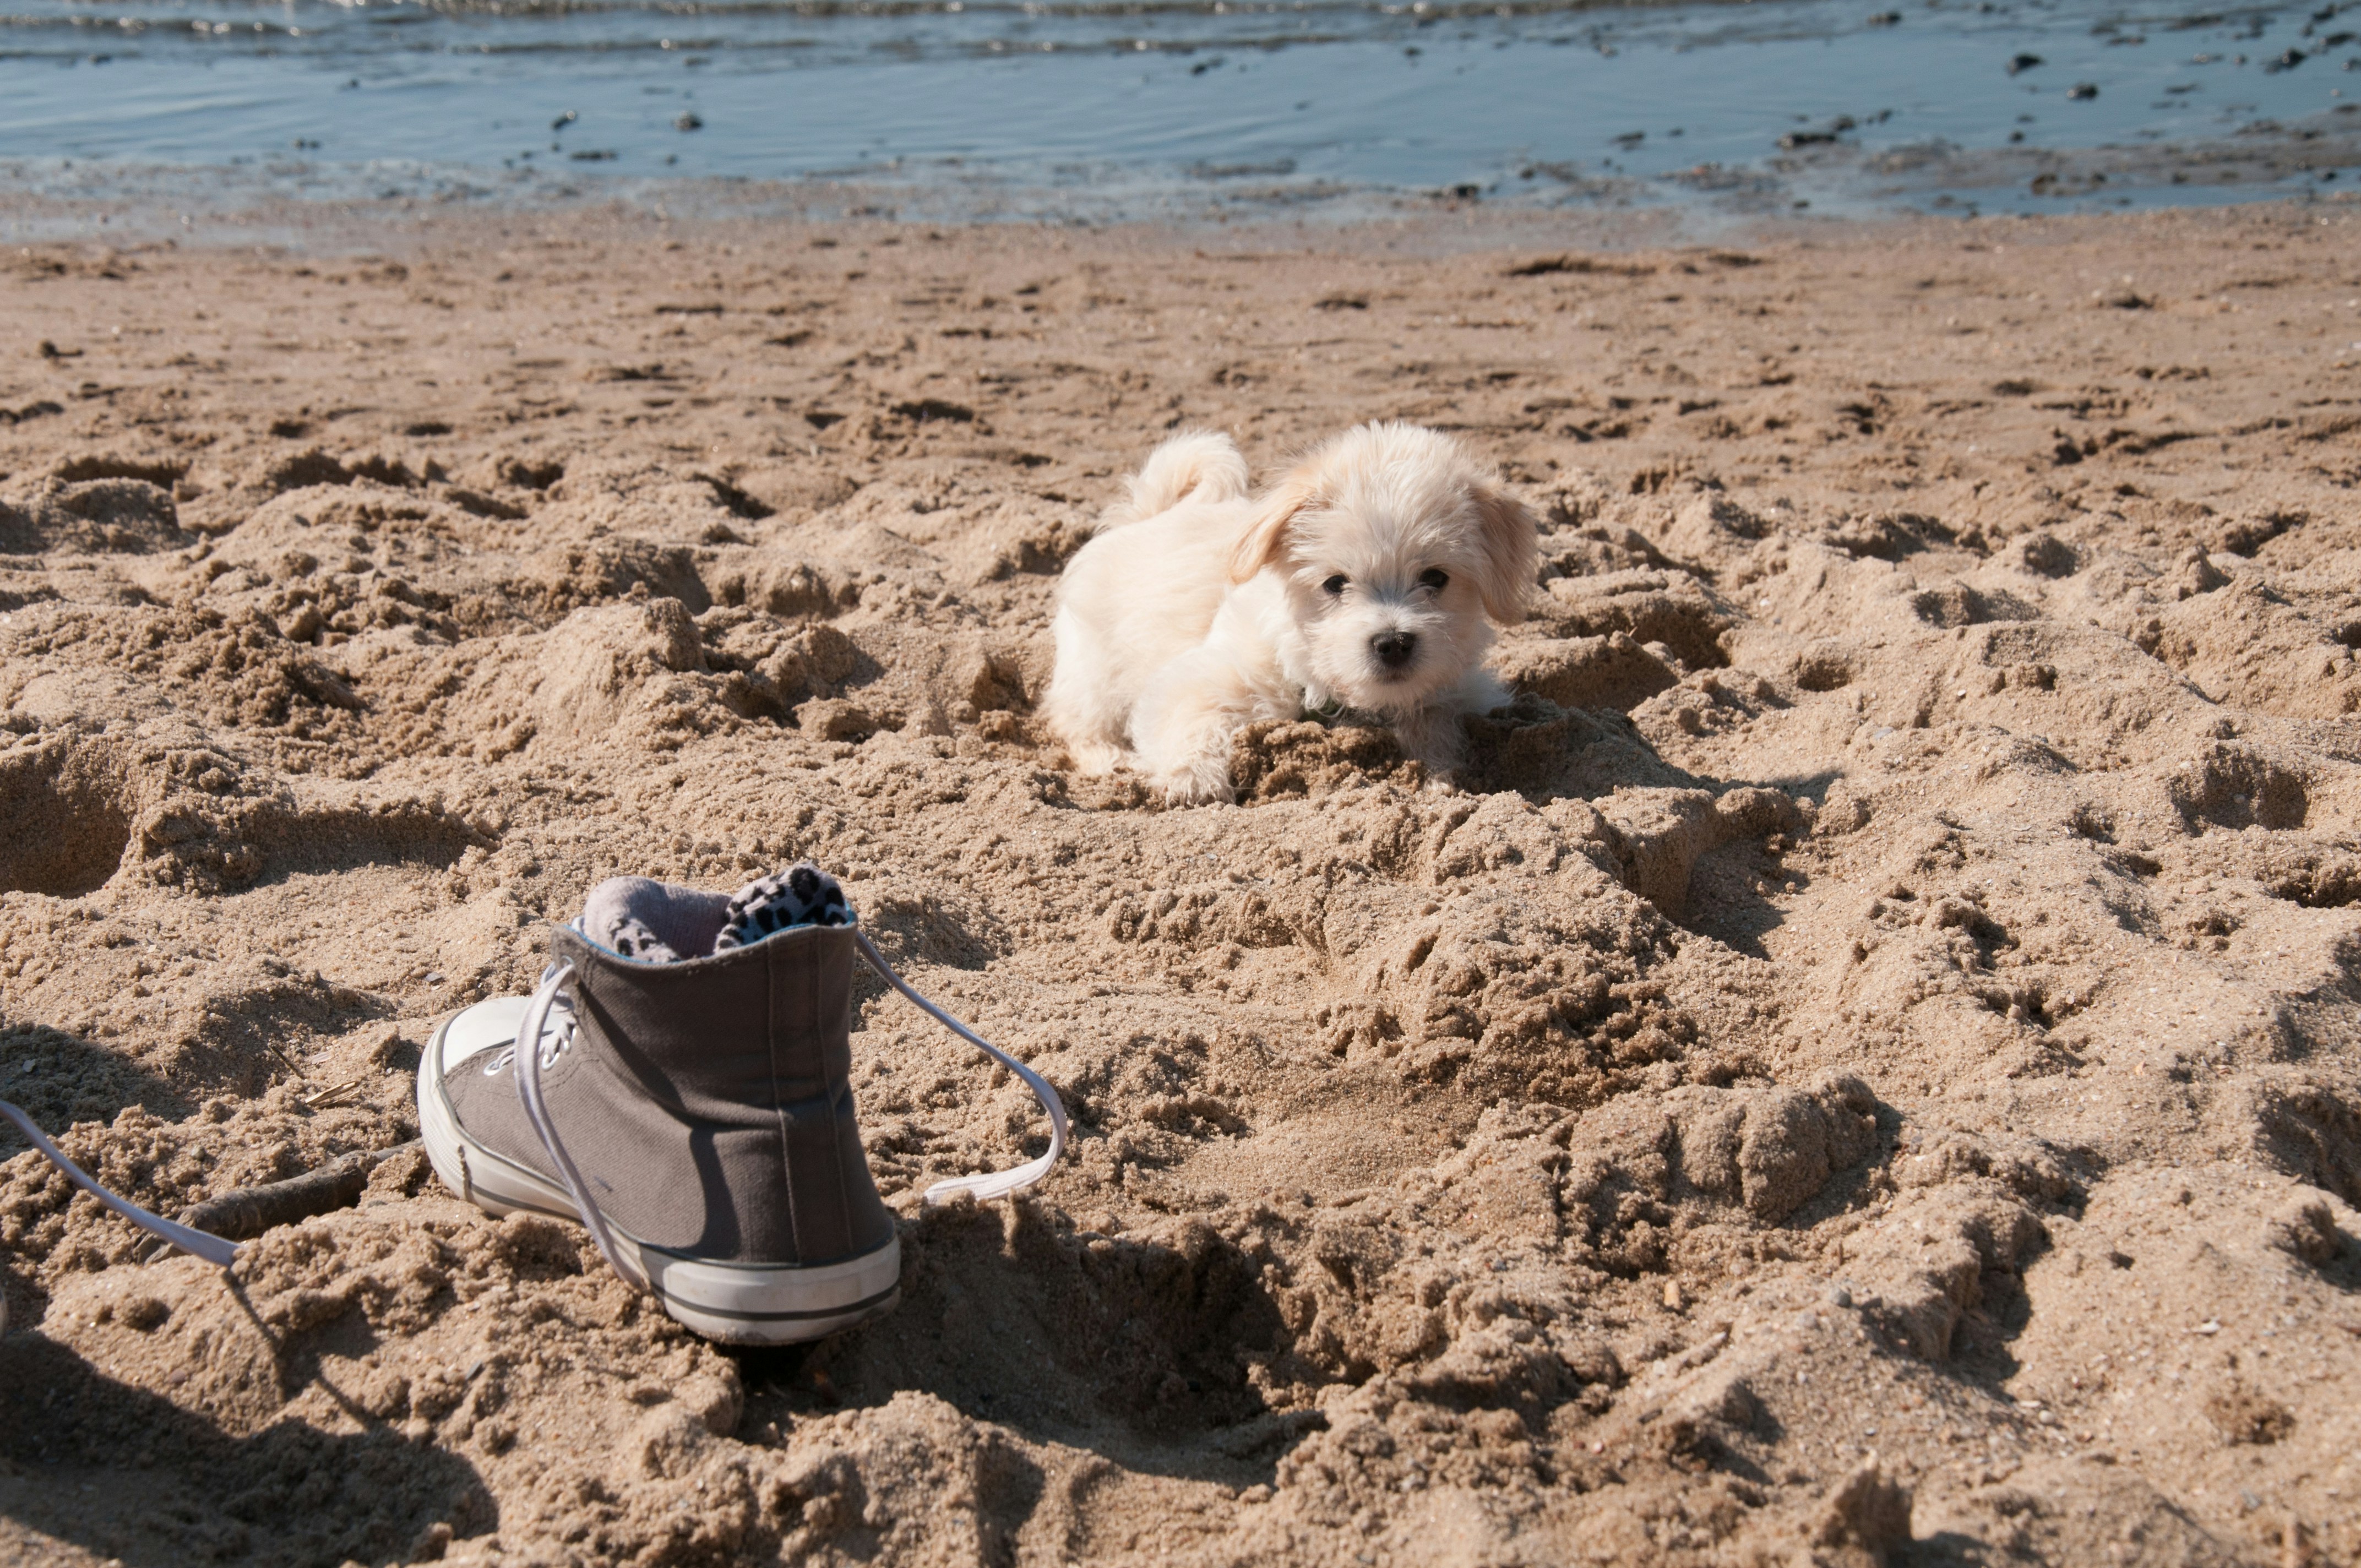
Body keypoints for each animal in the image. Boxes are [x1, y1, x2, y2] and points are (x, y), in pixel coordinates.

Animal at [1043, 422, 1539, 803]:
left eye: (1436, 578)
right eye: (1335, 583)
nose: (1393, 642)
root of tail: (1146, 516)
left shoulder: (1458, 693)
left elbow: (1435, 720)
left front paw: (1439, 772)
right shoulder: (1200, 678)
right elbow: (1188, 720)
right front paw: (1193, 780)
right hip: (1094, 671)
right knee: (1080, 726)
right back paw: (1113, 761)